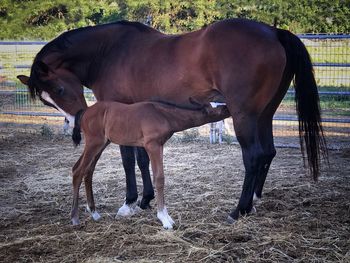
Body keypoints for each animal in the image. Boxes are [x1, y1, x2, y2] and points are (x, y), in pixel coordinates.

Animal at [71, 100, 230, 229]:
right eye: (218, 108)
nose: (228, 107)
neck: (163, 115)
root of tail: (85, 111)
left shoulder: (159, 146)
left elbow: (160, 177)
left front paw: (167, 216)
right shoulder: (152, 146)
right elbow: (159, 178)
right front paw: (164, 219)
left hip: (102, 143)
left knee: (87, 171)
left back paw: (94, 213)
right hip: (94, 142)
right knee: (78, 171)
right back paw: (74, 218)